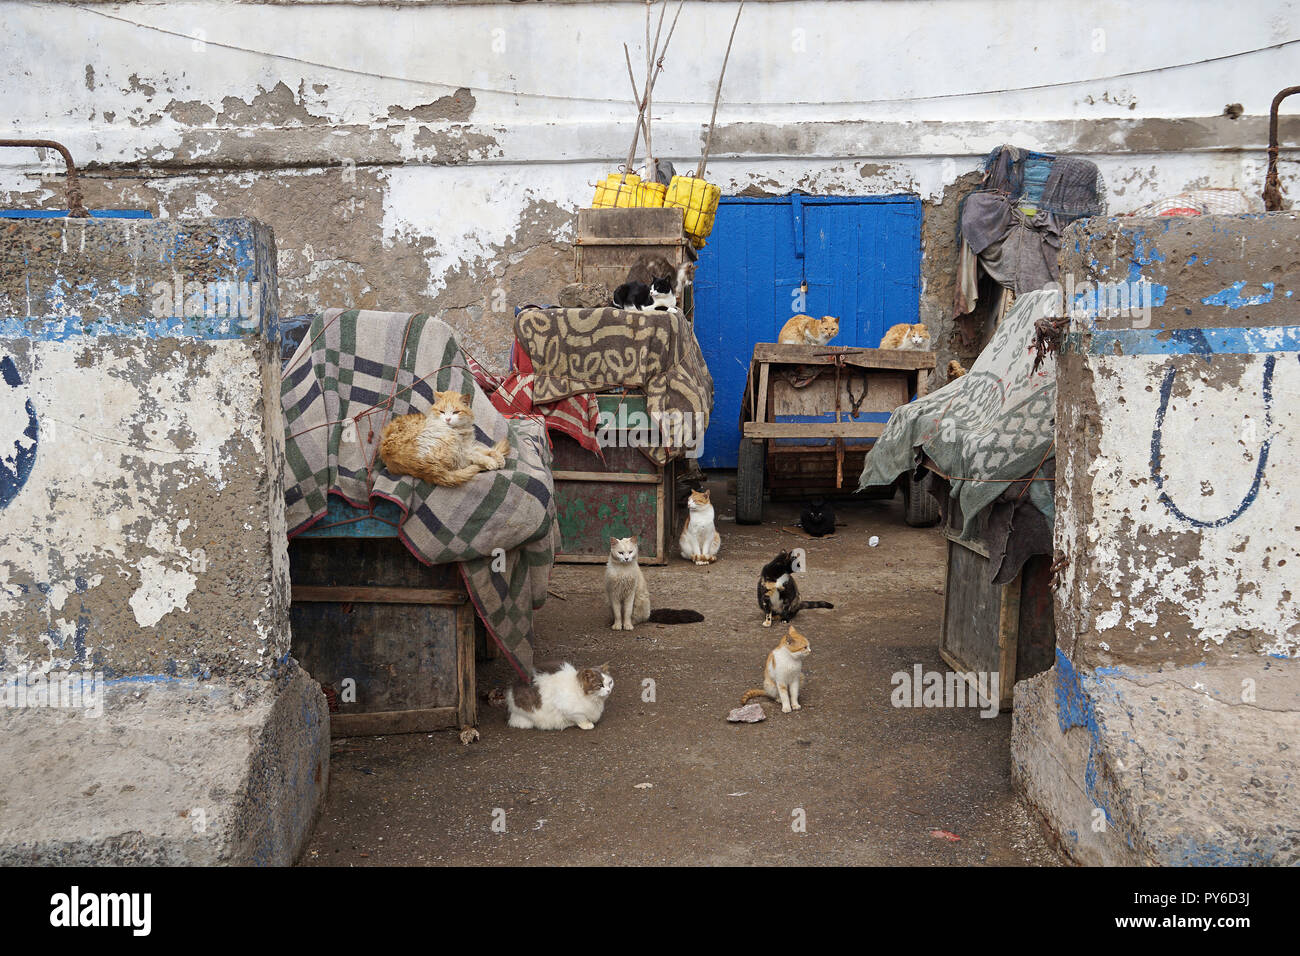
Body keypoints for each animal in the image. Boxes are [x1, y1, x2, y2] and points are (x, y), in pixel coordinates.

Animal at [379, 390, 509, 489]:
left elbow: (487, 450)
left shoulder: (468, 445)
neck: (460, 431)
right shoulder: (464, 450)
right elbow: (479, 455)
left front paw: (499, 459)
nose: (447, 419)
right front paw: (491, 462)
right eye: (442, 411)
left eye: (456, 412)